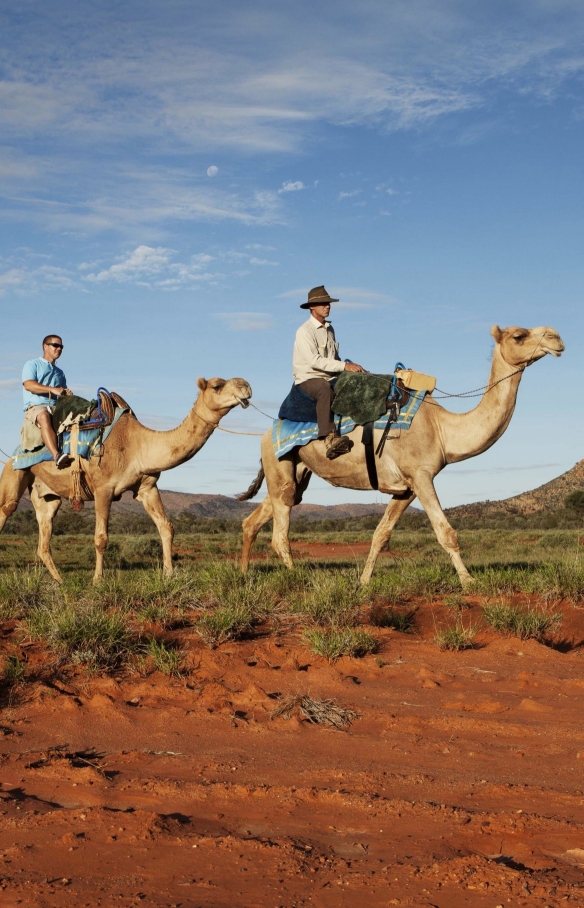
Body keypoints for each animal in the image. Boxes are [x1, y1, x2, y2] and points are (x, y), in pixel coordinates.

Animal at [0, 374, 251, 580]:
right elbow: (101, 538)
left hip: (47, 496)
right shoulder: (103, 489)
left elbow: (166, 527)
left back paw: (61, 581)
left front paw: (169, 574)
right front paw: (98, 580)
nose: (246, 386)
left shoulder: (147, 487)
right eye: (217, 385)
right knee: (7, 508)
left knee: (44, 538)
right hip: (14, 473)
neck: (137, 444)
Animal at [240, 326, 564, 588]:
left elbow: (380, 534)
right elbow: (446, 532)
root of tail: (266, 434)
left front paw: (363, 581)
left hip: (295, 471)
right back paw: (298, 577)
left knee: (256, 519)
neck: (442, 429)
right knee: (280, 534)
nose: (556, 337)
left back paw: (243, 574)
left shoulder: (405, 488)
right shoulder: (421, 475)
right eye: (519, 335)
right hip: (280, 463)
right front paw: (469, 581)